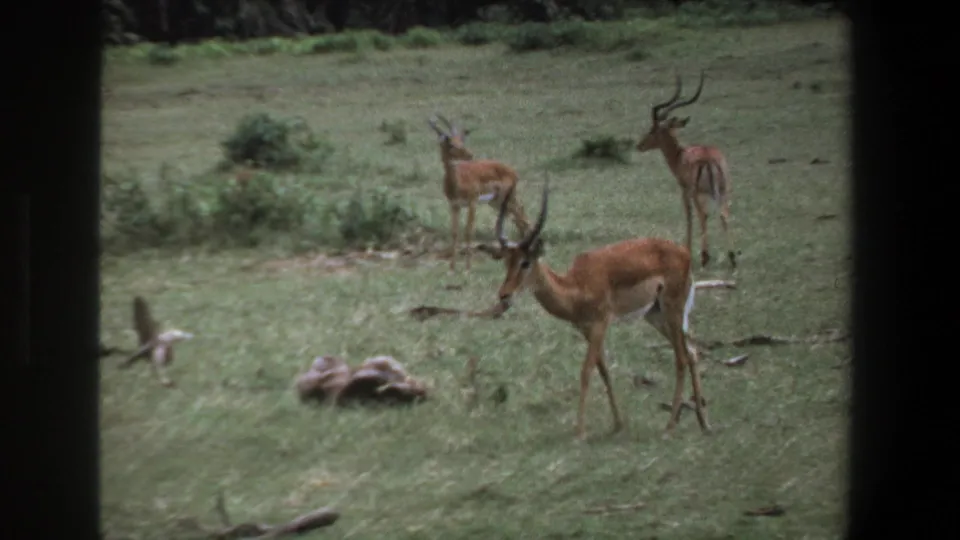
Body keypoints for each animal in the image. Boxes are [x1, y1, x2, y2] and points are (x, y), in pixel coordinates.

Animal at [427, 113, 531, 272]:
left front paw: (468, 268)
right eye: (451, 144)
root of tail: (513, 171)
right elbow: (455, 233)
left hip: (506, 199)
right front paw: (452, 268)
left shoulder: (472, 202)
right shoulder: (454, 205)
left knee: (524, 220)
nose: (470, 154)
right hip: (496, 202)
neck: (457, 182)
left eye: (461, 141)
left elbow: (469, 231)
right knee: (520, 220)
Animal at [478, 178, 710, 441]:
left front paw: (579, 432)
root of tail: (684, 254)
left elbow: (586, 371)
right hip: (656, 315)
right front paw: (618, 424)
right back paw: (704, 423)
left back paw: (670, 427)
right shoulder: (586, 329)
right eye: (507, 262)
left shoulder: (600, 324)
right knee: (692, 351)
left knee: (681, 358)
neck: (576, 287)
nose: (504, 294)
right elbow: (603, 370)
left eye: (525, 262)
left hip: (672, 311)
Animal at [635, 71, 737, 270]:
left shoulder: (684, 190)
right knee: (723, 215)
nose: (639, 145)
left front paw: (688, 250)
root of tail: (709, 159)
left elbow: (689, 217)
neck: (680, 155)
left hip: (697, 193)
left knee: (703, 216)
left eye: (653, 129)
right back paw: (731, 257)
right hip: (723, 190)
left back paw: (705, 257)